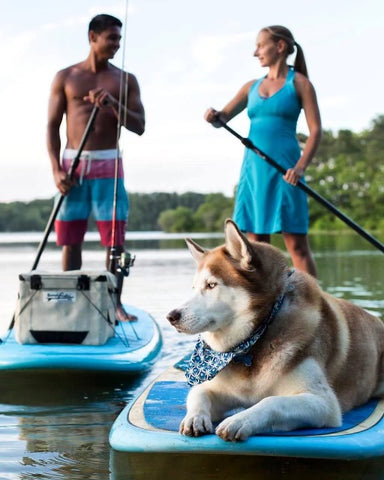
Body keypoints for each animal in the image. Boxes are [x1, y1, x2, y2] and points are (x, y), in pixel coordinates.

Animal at [167, 219, 384, 440]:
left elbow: (272, 401)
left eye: (211, 285)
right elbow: (198, 393)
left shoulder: (324, 403)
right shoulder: (219, 388)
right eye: (194, 288)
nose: (171, 316)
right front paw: (195, 417)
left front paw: (240, 420)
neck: (253, 343)